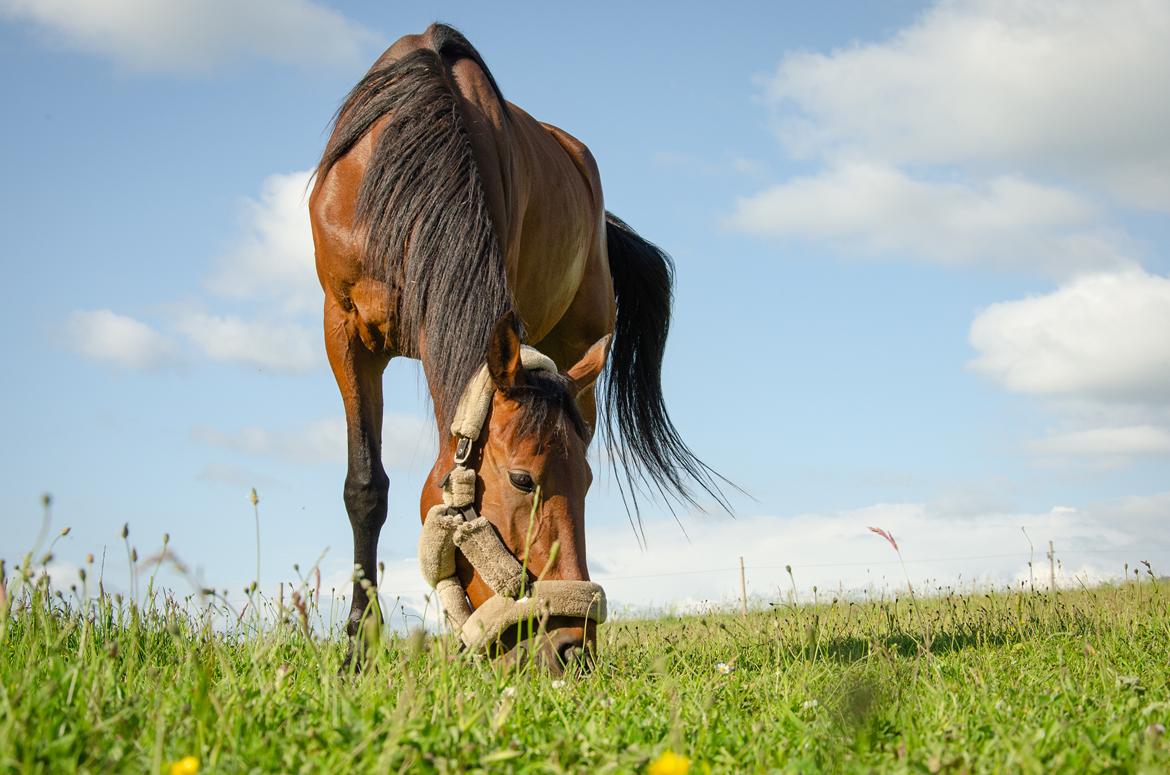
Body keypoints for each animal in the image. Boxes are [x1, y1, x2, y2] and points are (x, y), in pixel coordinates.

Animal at [306, 21, 716, 669]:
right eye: (523, 480)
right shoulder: (344, 333)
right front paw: (357, 647)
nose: (572, 647)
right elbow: (365, 487)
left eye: (588, 483)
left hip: (578, 349)